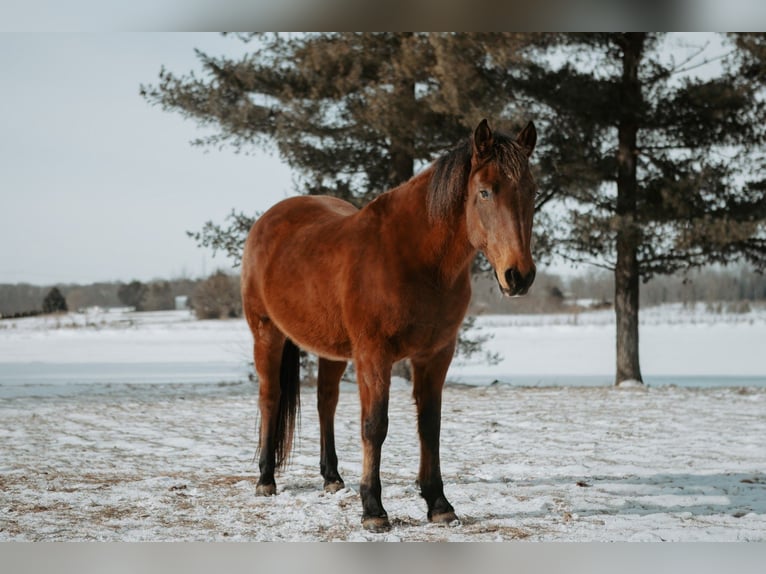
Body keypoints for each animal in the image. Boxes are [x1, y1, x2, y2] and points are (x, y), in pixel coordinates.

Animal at [240, 118, 537, 532]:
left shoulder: (436, 354)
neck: (413, 257)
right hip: (266, 333)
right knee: (270, 398)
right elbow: (374, 426)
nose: (519, 276)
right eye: (485, 192)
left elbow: (429, 424)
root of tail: (267, 221)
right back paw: (266, 479)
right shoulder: (374, 355)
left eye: (531, 191)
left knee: (325, 401)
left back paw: (332, 478)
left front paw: (439, 503)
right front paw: (373, 510)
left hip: (331, 350)